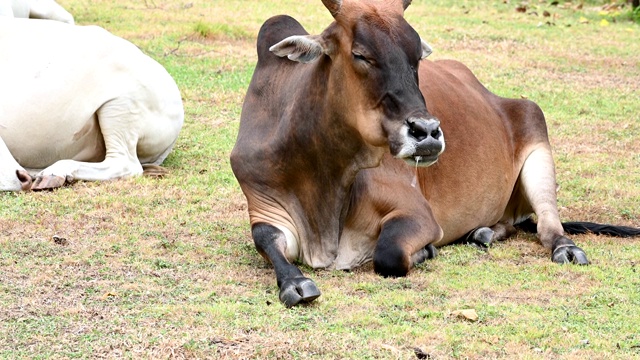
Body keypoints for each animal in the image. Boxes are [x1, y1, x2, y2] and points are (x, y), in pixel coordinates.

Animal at [229, 0, 636, 306]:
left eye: (417, 57)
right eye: (360, 54)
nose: (426, 133)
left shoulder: (417, 213)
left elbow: (389, 254)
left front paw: (425, 251)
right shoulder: (265, 205)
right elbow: (265, 239)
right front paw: (294, 283)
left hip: (537, 133)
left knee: (548, 224)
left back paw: (563, 248)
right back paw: (483, 233)